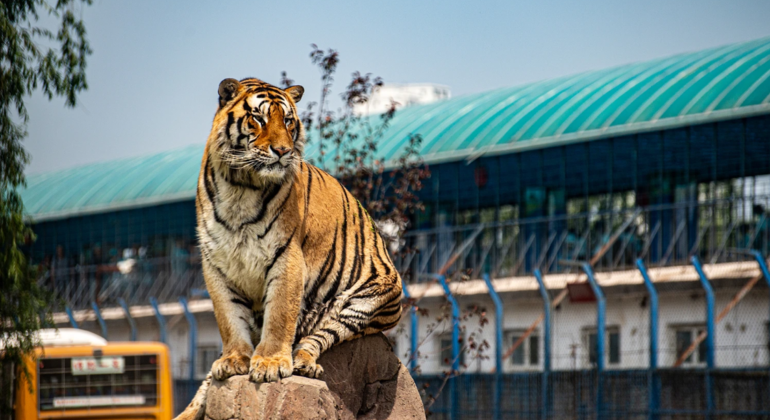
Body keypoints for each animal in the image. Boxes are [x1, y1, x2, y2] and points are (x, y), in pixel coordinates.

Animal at [175, 77, 403, 420]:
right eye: (258, 118)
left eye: (289, 121)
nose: (282, 151)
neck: (240, 186)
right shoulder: (216, 262)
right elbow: (228, 318)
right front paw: (233, 361)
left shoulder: (286, 257)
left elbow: (280, 314)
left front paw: (269, 364)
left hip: (368, 301)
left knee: (316, 338)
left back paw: (305, 365)